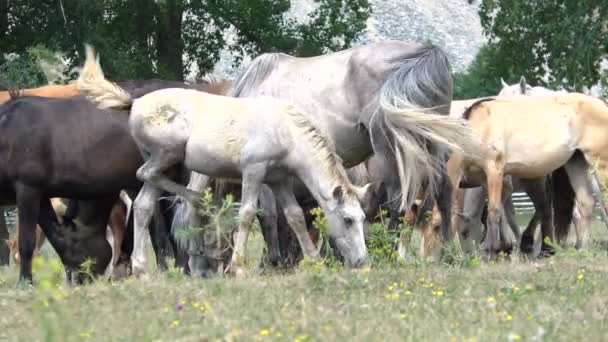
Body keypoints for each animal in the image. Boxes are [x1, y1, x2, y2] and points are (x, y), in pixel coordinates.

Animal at [456, 93, 608, 256]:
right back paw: (581, 249)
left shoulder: (495, 171)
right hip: (576, 162)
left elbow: (494, 212)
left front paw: (492, 250)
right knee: (586, 204)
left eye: (464, 233)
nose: (468, 254)